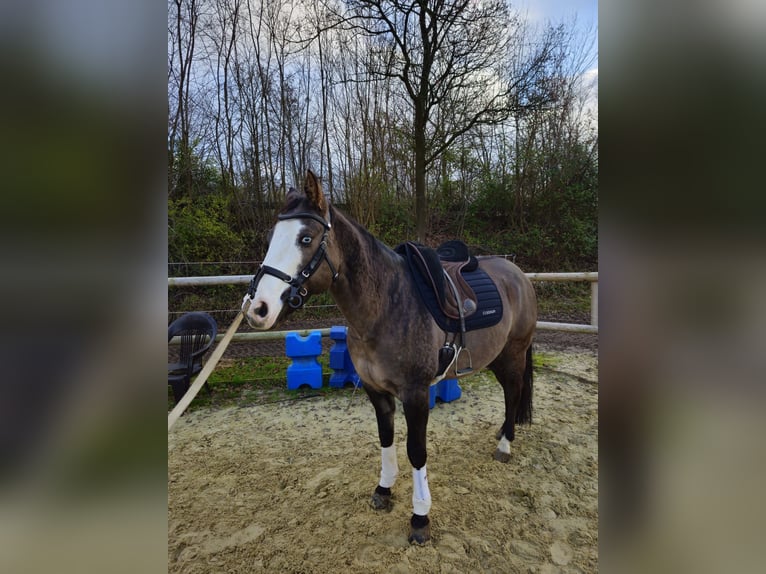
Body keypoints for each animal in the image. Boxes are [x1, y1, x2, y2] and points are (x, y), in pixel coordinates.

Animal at [241, 171, 537, 544]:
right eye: (270, 238)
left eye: (306, 238)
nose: (257, 309)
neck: (385, 305)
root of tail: (520, 276)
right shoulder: (376, 391)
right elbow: (386, 439)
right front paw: (383, 490)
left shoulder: (415, 394)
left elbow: (416, 451)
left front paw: (420, 518)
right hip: (497, 357)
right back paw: (501, 433)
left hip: (514, 353)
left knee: (513, 393)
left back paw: (505, 446)